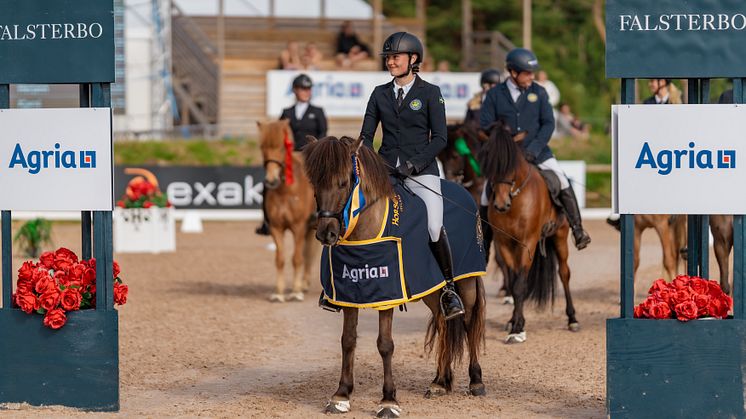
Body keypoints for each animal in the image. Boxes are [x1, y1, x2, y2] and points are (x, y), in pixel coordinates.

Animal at [256, 120, 316, 304]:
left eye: (282, 148)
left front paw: (295, 292)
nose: (271, 180)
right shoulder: (276, 228)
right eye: (262, 147)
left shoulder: (299, 227)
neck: (285, 190)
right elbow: (280, 259)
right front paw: (279, 293)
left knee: (307, 254)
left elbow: (296, 259)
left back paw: (303, 285)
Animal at [304, 136, 488, 418]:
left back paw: (476, 381)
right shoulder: (351, 292)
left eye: (344, 182)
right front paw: (341, 395)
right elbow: (348, 341)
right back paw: (440, 382)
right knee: (443, 323)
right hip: (431, 289)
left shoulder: (387, 294)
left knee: (468, 322)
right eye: (315, 183)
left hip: (466, 282)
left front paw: (388, 401)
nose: (327, 234)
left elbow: (385, 344)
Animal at [480, 121, 580, 344]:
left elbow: (519, 285)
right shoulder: (504, 243)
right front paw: (514, 323)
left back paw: (572, 319)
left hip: (560, 236)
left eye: (511, 161)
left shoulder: (528, 241)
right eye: (488, 154)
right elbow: (513, 281)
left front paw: (518, 328)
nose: (501, 204)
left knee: (565, 273)